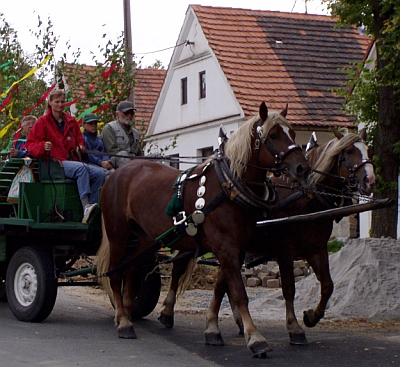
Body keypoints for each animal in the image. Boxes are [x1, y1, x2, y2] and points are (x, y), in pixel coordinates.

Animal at [96, 102, 310, 358]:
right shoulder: (226, 247)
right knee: (115, 273)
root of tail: (118, 174)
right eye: (274, 135)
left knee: (130, 270)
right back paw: (123, 322)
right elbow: (238, 292)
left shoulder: (236, 249)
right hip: (118, 235)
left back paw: (127, 314)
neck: (228, 186)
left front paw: (213, 330)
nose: (303, 168)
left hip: (145, 239)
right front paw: (255, 337)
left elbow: (220, 288)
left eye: (293, 134)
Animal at [160, 128, 376, 350]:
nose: (370, 180)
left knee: (222, 281)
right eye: (349, 151)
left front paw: (311, 317)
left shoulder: (317, 249)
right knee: (178, 269)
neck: (305, 197)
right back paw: (168, 312)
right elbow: (288, 289)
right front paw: (294, 328)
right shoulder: (285, 251)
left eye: (369, 150)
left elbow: (327, 286)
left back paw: (236, 322)